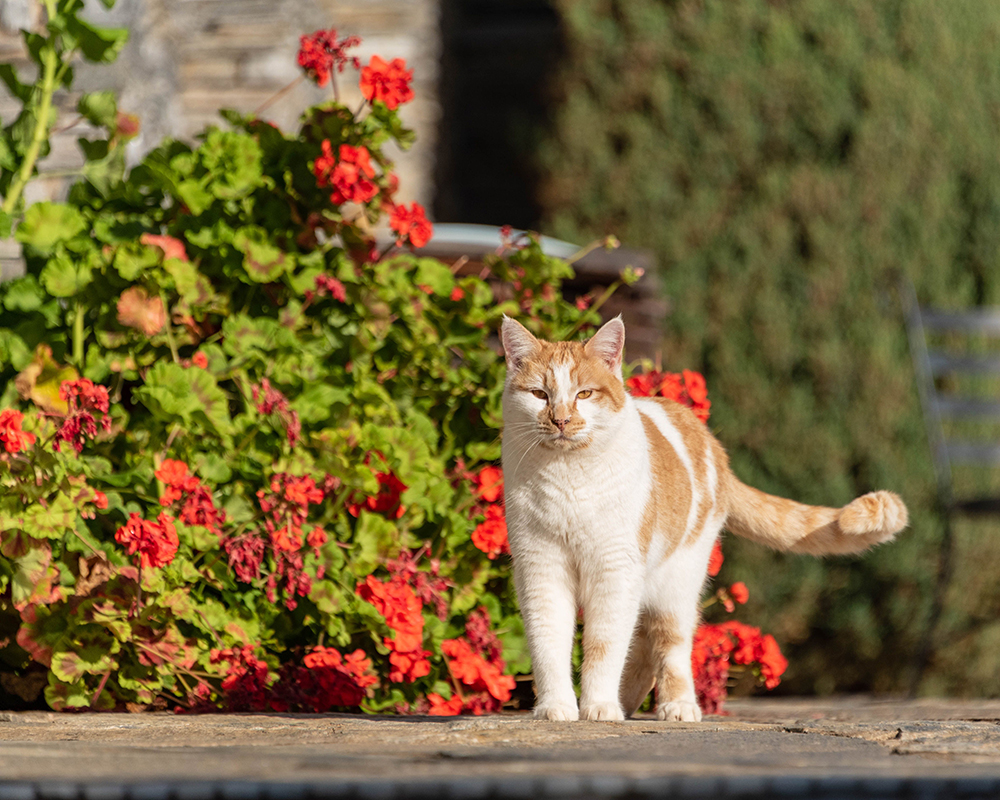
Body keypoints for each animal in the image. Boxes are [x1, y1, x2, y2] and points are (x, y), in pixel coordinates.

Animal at [500, 316, 908, 720]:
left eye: (584, 394)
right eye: (540, 394)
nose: (561, 420)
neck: (567, 478)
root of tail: (712, 445)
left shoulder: (614, 570)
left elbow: (604, 646)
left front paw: (599, 706)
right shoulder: (541, 569)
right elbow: (549, 643)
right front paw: (556, 707)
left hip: (678, 581)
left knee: (670, 644)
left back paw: (674, 705)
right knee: (645, 643)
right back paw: (628, 701)